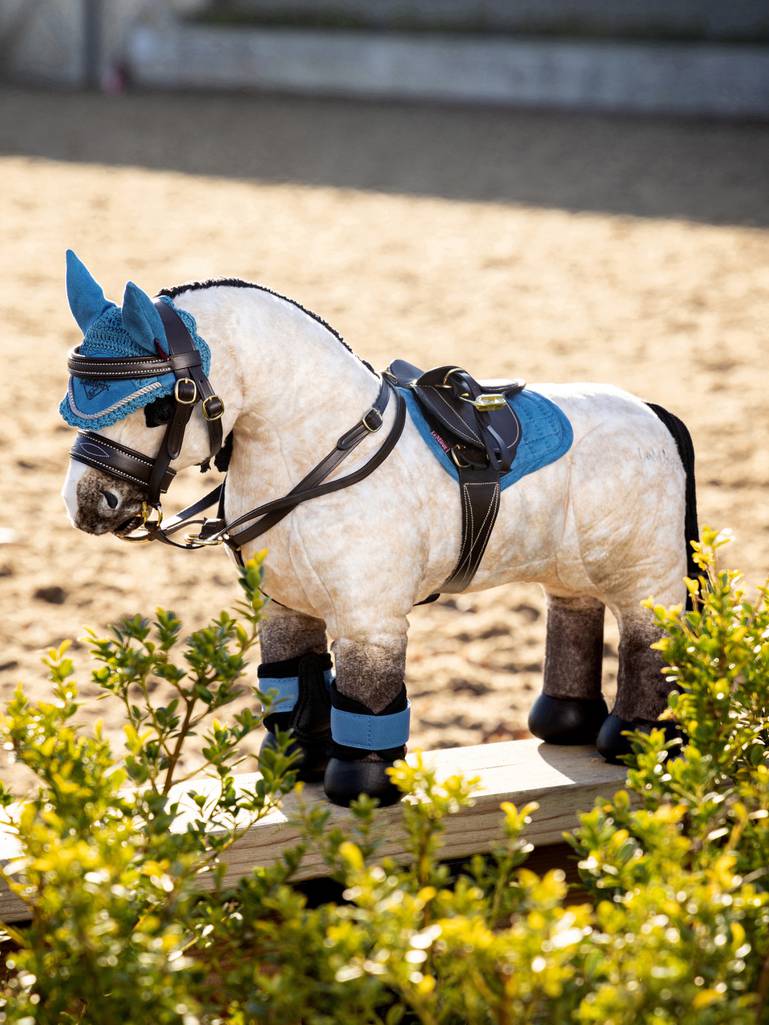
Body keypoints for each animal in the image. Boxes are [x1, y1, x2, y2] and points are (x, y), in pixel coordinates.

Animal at [60, 251, 697, 806]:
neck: (319, 450)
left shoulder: (370, 621)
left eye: (160, 406)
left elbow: (366, 699)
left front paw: (361, 788)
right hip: (572, 566)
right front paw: (296, 763)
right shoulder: (284, 608)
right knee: (574, 611)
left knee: (647, 639)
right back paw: (565, 722)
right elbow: (295, 682)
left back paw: (638, 739)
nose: (88, 504)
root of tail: (650, 410)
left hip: (647, 575)